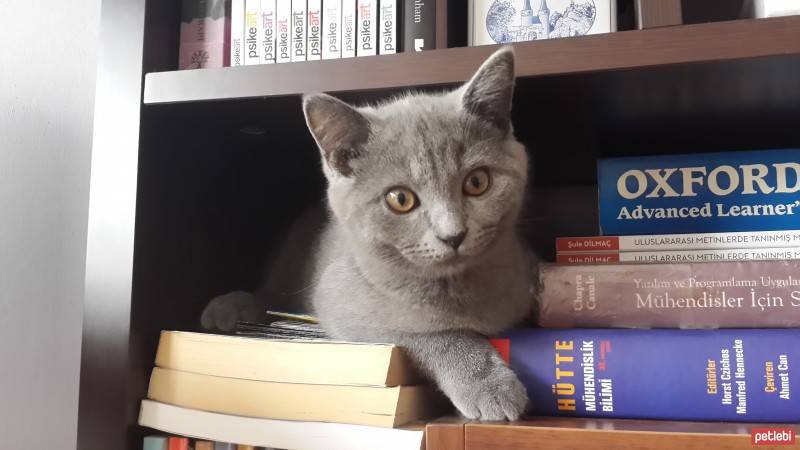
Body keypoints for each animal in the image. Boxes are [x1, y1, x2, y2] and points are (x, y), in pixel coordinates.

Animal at [203, 48, 536, 422]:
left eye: (477, 182)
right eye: (400, 199)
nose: (453, 234)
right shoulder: (348, 312)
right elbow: (437, 334)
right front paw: (487, 382)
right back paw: (229, 309)